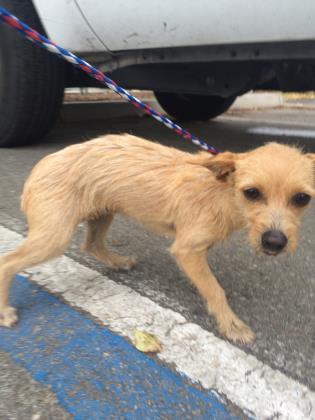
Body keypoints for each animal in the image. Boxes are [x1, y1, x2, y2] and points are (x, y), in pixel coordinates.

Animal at [0, 135, 314, 344]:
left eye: (302, 198)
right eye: (252, 192)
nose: (275, 242)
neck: (223, 191)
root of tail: (40, 166)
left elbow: (210, 285)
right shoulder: (187, 251)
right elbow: (215, 290)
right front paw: (231, 324)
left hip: (103, 213)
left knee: (91, 244)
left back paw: (118, 261)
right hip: (54, 237)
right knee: (7, 263)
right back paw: (4, 311)